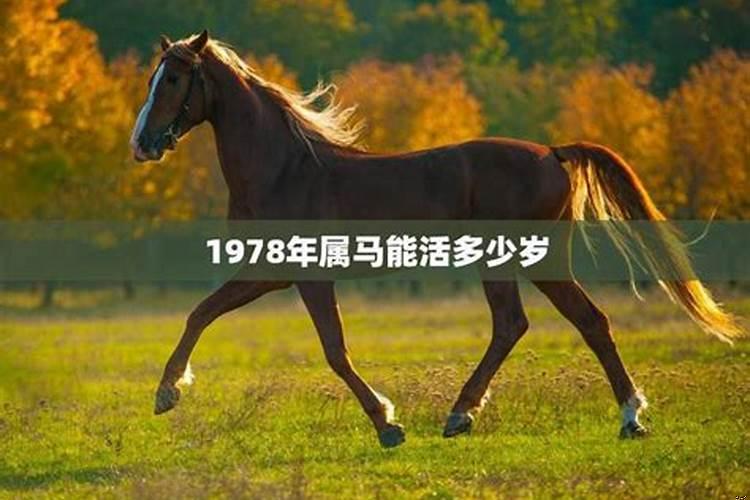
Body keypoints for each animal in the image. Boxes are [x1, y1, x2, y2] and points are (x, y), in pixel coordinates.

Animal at [130, 30, 741, 448]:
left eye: (174, 79)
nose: (141, 144)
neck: (284, 169)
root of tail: (553, 152)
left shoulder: (307, 277)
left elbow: (333, 350)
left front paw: (387, 424)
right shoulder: (270, 272)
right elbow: (201, 313)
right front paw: (168, 392)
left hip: (521, 261)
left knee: (550, 323)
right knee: (550, 323)